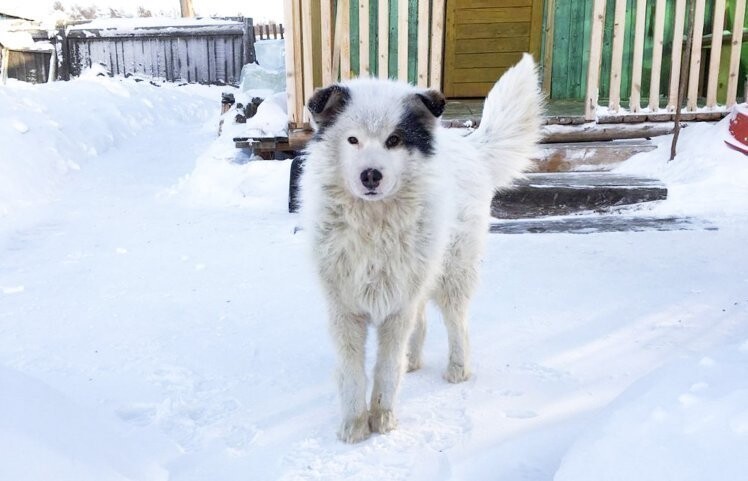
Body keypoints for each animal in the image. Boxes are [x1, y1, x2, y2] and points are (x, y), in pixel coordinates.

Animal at [300, 55, 544, 442]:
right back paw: (413, 361)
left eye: (394, 140)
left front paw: (382, 420)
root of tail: (470, 145)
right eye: (353, 140)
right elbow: (353, 374)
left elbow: (385, 369)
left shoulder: (396, 307)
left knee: (457, 323)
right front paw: (354, 427)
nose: (371, 175)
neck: (374, 225)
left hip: (452, 271)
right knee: (423, 319)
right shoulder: (346, 309)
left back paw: (457, 369)